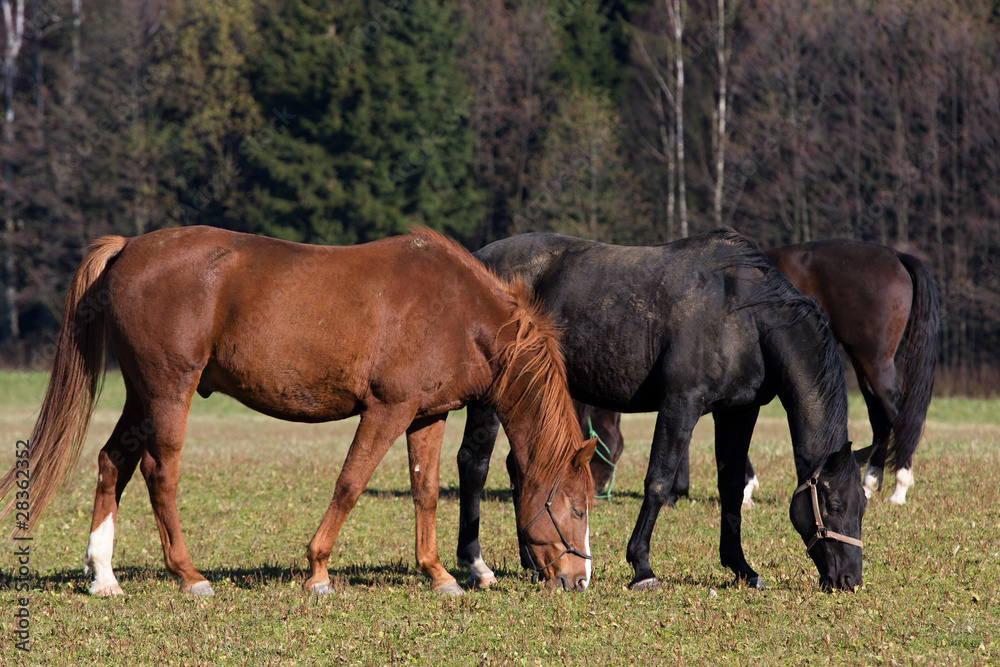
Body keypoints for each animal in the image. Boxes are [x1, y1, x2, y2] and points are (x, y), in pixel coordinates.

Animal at [0, 227, 592, 596]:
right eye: (578, 508)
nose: (579, 579)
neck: (457, 311)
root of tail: (128, 248)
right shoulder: (386, 410)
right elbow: (350, 484)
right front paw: (318, 571)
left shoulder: (426, 415)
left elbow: (424, 491)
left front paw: (438, 574)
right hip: (168, 390)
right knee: (158, 471)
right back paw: (189, 575)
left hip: (142, 395)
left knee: (111, 464)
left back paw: (103, 575)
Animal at [456, 230, 868, 588]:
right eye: (832, 504)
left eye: (862, 505)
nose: (849, 579)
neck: (744, 315)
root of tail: (478, 259)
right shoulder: (680, 403)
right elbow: (658, 481)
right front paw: (642, 567)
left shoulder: (737, 412)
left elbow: (731, 487)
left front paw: (741, 568)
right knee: (474, 463)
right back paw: (476, 565)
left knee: (521, 468)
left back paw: (532, 562)